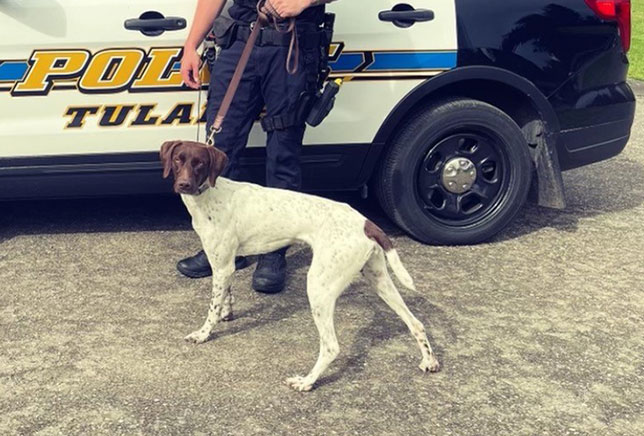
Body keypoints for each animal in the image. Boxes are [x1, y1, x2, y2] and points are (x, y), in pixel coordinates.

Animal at [161, 141, 442, 392]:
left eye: (200, 163)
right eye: (178, 160)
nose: (183, 184)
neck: (210, 195)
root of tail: (366, 222)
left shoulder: (221, 267)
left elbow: (212, 308)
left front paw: (204, 333)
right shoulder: (224, 265)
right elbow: (225, 297)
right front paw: (226, 314)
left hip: (319, 287)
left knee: (331, 346)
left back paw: (307, 382)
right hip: (379, 279)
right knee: (416, 323)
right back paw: (429, 360)